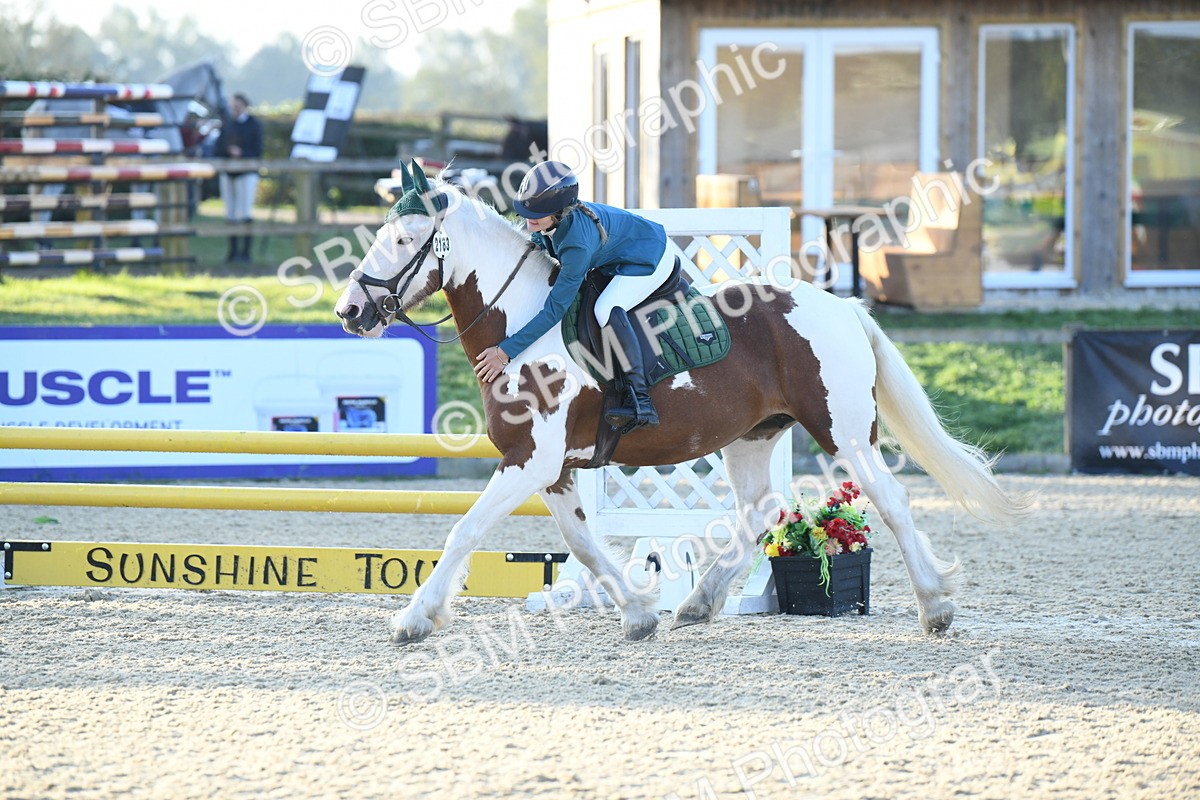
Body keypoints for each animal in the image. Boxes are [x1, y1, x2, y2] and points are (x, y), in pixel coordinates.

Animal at [334, 162, 1025, 644]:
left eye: (404, 239)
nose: (349, 312)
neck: (523, 321)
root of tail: (842, 305)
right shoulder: (551, 470)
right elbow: (583, 544)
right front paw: (639, 612)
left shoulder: (530, 460)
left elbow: (465, 530)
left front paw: (415, 619)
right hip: (753, 436)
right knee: (760, 511)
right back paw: (698, 602)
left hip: (845, 431)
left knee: (892, 500)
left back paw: (936, 607)